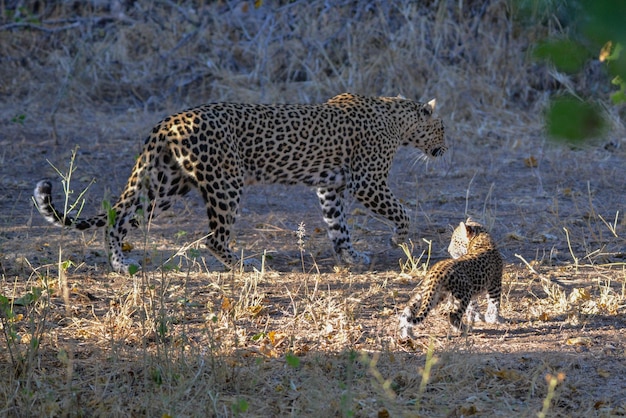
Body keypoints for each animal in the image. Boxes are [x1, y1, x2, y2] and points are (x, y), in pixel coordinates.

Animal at [33, 93, 444, 272]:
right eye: (441, 128)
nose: (445, 148)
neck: (398, 118)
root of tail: (168, 121)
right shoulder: (367, 182)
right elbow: (402, 212)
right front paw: (397, 239)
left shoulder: (330, 187)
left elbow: (338, 227)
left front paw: (351, 256)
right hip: (225, 182)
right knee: (213, 238)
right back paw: (245, 264)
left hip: (166, 184)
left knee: (119, 218)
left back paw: (121, 263)